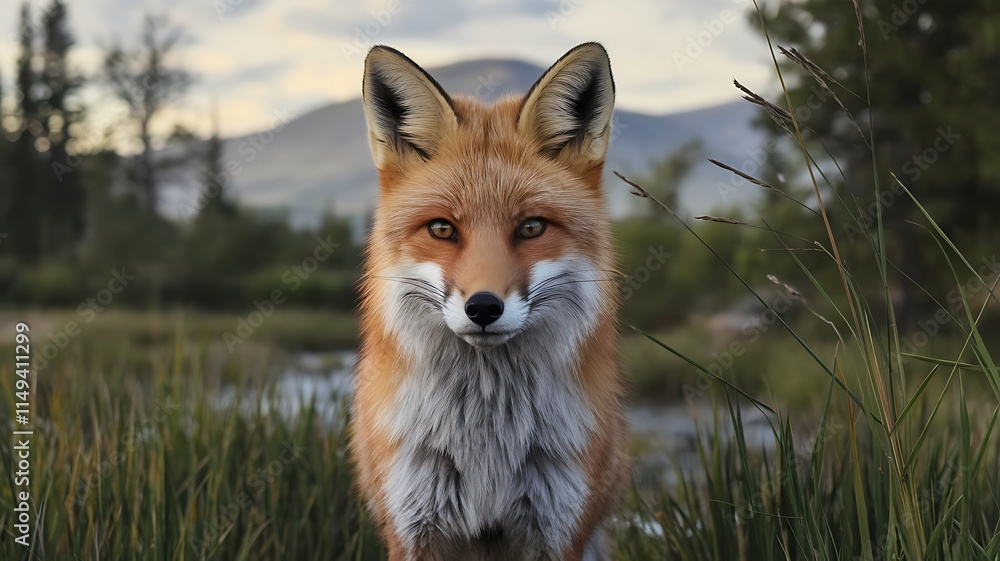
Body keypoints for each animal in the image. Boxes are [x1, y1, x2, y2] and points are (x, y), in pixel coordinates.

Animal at [351, 42, 627, 561]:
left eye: (531, 227)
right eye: (442, 229)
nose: (482, 307)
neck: (486, 447)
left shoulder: (556, 526)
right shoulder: (414, 525)